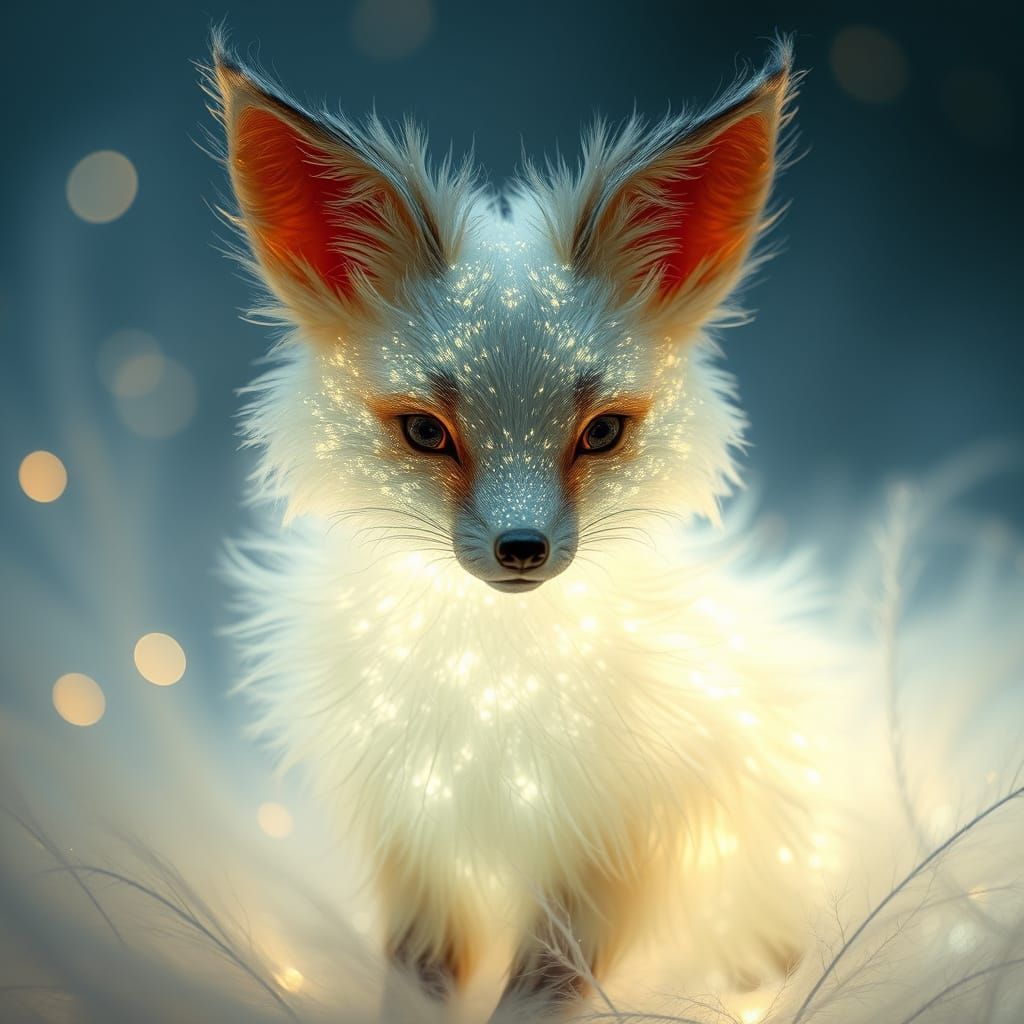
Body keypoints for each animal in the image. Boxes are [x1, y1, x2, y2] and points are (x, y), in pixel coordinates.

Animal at [208, 33, 828, 1020]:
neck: (494, 691)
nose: (523, 550)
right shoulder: (420, 841)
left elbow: (541, 992)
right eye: (427, 431)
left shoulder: (622, 852)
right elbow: (417, 985)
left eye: (601, 433)